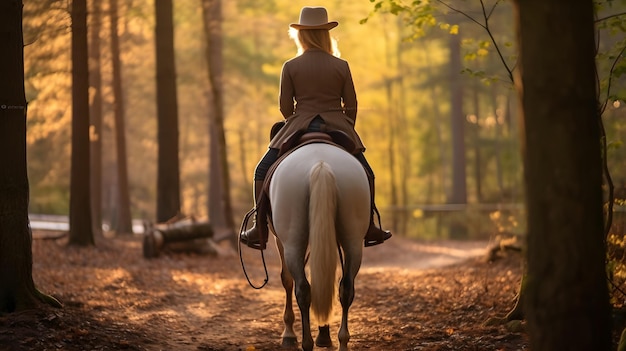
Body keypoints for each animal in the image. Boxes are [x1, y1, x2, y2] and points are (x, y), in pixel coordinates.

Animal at [268, 143, 370, 351]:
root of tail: (321, 165)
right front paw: (324, 334)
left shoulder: (280, 241)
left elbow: (287, 280)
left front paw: (289, 333)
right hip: (354, 241)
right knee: (346, 288)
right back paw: (342, 343)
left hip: (292, 242)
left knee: (302, 289)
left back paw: (306, 342)